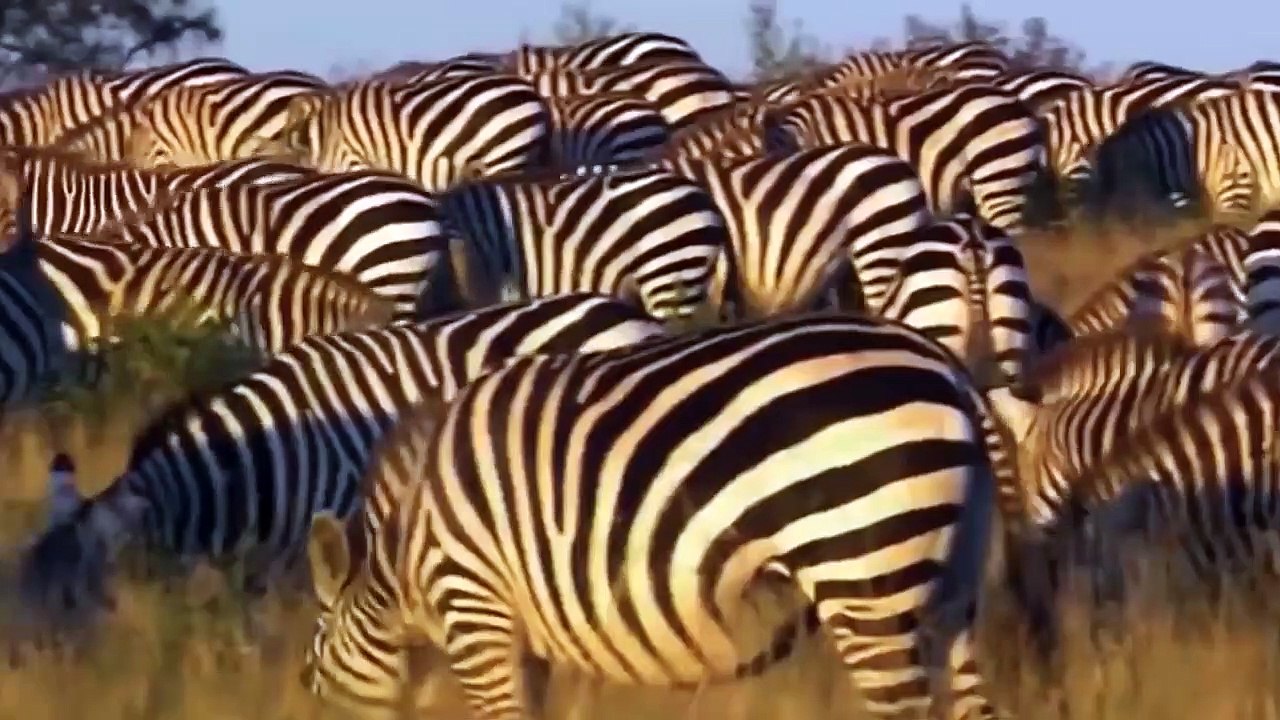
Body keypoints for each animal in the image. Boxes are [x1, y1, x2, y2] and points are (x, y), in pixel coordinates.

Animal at [301, 313, 1016, 720]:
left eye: (315, 668)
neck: (403, 555)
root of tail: (949, 371)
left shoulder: (475, 606)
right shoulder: (529, 630)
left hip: (862, 568)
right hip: (947, 584)